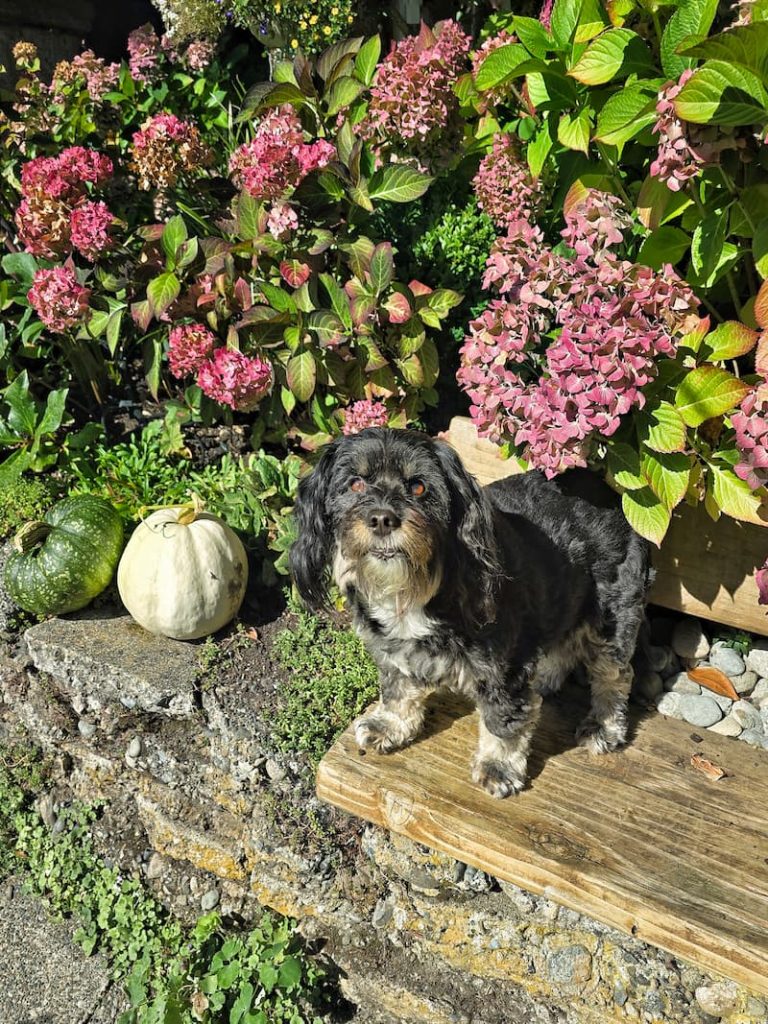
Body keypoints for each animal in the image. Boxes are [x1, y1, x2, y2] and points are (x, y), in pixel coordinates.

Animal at [290, 428, 651, 794]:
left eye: (419, 487)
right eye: (355, 484)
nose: (382, 518)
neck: (414, 593)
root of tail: (610, 495)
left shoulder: (503, 670)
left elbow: (502, 721)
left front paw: (498, 766)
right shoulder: (392, 651)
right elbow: (397, 689)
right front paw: (390, 725)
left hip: (612, 616)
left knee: (615, 675)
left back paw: (603, 725)